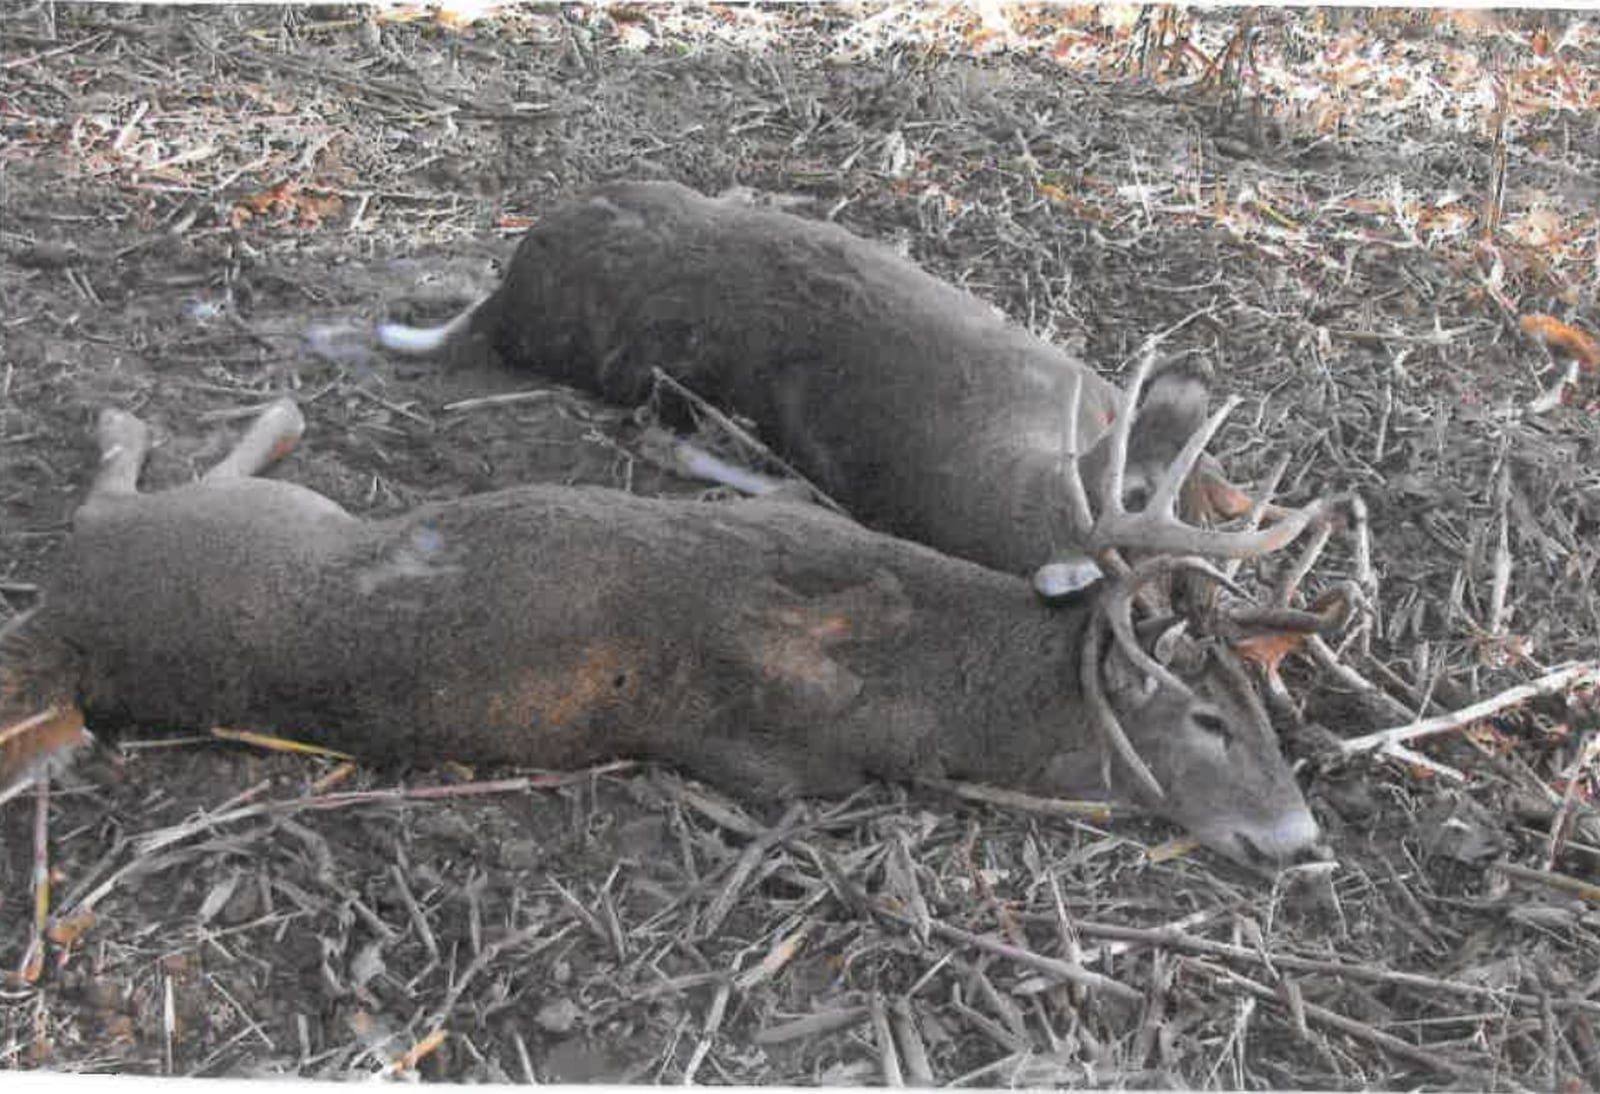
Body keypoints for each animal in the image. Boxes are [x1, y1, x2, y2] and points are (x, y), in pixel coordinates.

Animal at [0, 360, 1336, 868]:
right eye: (1208, 718)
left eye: (1266, 708)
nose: (1299, 834)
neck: (937, 667)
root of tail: (66, 626)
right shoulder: (781, 760)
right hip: (261, 520)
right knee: (120, 492)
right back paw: (195, 415)